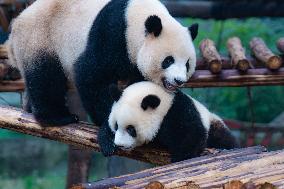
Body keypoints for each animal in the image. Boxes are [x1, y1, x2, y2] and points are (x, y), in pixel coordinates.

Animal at [6, 0, 197, 127]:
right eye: (168, 60)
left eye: (187, 64)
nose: (179, 80)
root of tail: (16, 25)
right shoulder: (113, 34)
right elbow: (90, 75)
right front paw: (109, 121)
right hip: (39, 37)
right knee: (45, 76)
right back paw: (57, 116)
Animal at [98, 81, 239, 162]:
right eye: (116, 126)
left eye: (131, 129)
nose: (120, 144)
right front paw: (108, 143)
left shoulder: (177, 112)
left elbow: (193, 134)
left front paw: (179, 159)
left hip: (213, 123)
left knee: (223, 137)